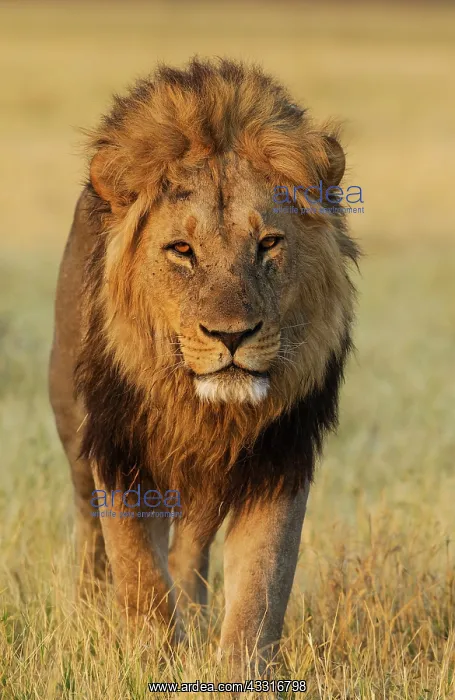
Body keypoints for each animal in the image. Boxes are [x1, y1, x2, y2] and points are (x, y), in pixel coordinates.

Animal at [49, 57, 359, 676]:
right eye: (182, 251)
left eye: (268, 243)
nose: (232, 336)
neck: (204, 411)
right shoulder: (119, 449)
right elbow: (138, 573)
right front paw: (151, 661)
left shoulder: (279, 461)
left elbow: (261, 587)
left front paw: (239, 671)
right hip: (73, 435)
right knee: (93, 538)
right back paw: (95, 610)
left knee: (189, 551)